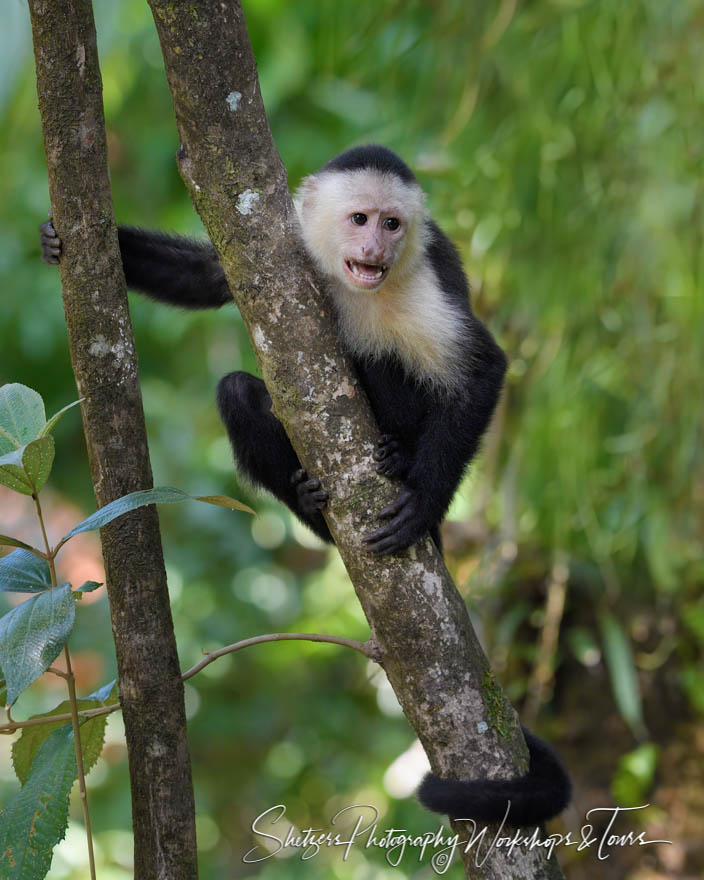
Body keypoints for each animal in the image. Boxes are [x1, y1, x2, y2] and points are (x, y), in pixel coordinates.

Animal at [40, 144, 572, 824]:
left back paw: (398, 458)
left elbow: (482, 370)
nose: (374, 247)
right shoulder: (282, 249)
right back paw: (310, 501)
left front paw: (423, 502)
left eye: (393, 224)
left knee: (384, 356)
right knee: (239, 391)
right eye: (360, 219)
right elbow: (209, 276)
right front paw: (58, 239)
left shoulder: (421, 283)